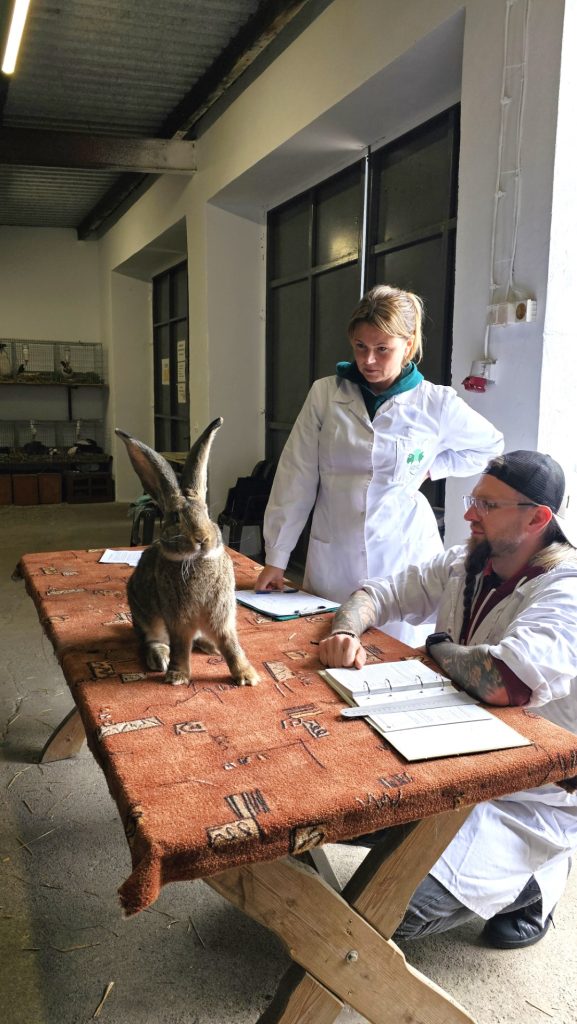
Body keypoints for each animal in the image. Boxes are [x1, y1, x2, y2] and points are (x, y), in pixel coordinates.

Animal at [115, 415, 259, 688]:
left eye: (206, 511)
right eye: (174, 517)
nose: (202, 539)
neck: (195, 560)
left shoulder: (221, 616)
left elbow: (231, 644)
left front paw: (247, 676)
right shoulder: (178, 621)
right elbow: (181, 646)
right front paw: (177, 676)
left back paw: (209, 646)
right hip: (146, 616)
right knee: (153, 640)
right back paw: (159, 658)